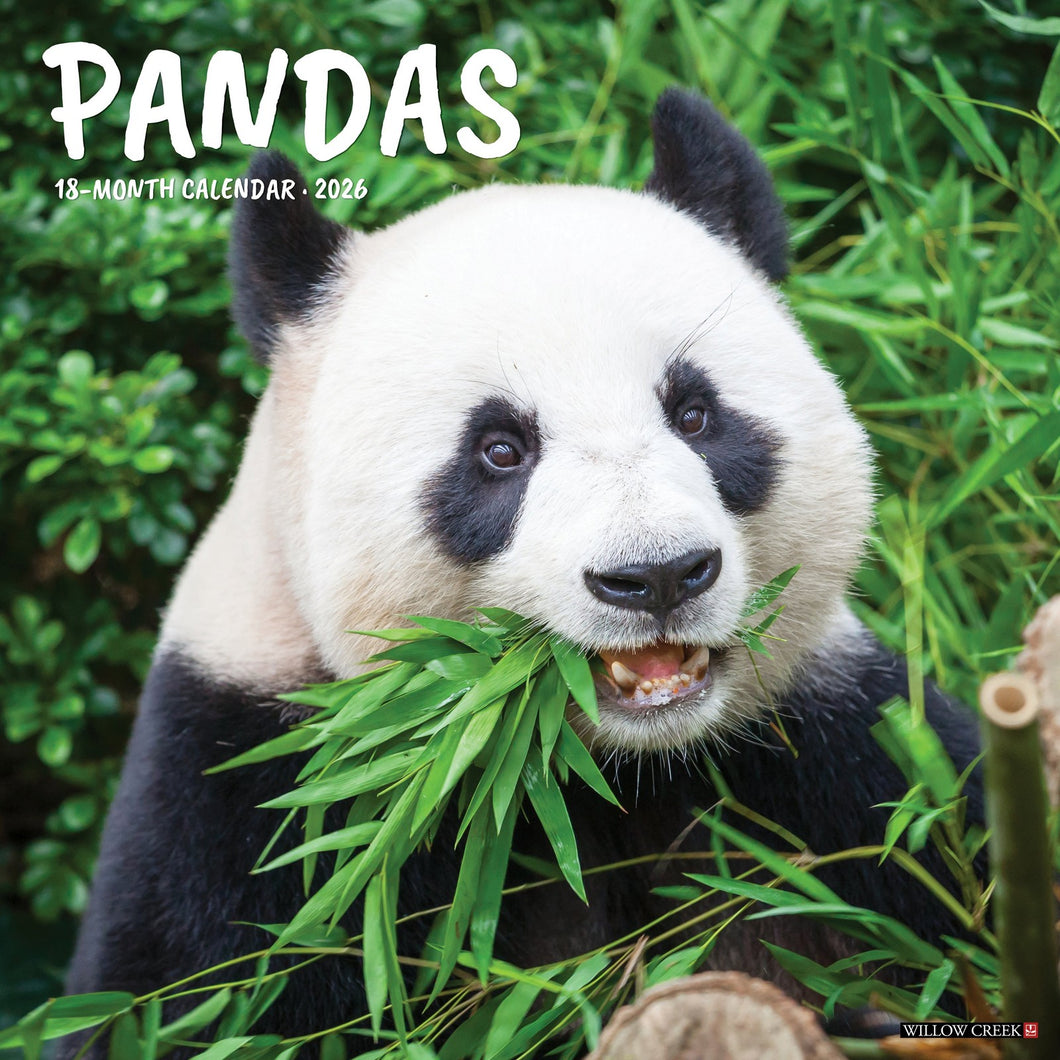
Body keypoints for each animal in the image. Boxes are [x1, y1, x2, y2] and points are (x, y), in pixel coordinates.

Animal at [64, 89, 983, 1048]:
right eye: (499, 450)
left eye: (696, 414)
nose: (657, 576)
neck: (594, 767)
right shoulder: (252, 783)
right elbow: (194, 989)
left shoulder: (837, 747)